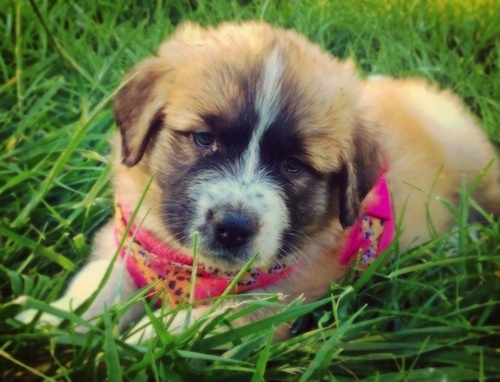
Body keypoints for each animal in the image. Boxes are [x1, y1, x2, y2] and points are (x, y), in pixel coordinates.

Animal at [17, 22, 498, 342]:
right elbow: (100, 282)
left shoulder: (276, 303)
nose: (233, 227)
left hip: (476, 163)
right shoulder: (132, 244)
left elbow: (209, 318)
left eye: (293, 165)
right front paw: (51, 321)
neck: (195, 269)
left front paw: (144, 343)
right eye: (204, 138)